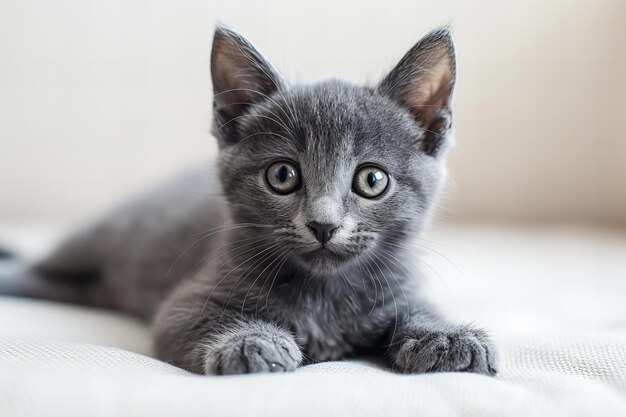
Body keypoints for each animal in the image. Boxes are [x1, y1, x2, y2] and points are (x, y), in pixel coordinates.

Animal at [0, 27, 498, 376]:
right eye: (282, 175)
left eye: (372, 180)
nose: (323, 225)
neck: (323, 293)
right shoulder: (185, 302)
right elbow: (197, 319)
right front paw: (250, 343)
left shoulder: (399, 287)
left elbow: (417, 308)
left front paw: (448, 337)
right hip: (93, 243)